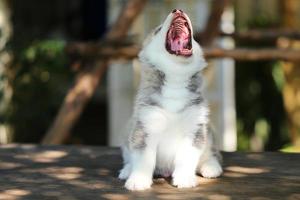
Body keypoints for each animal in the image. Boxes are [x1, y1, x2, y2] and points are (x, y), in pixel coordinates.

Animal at [118, 9, 221, 191]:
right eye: (158, 29)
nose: (178, 10)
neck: (176, 79)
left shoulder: (194, 128)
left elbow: (187, 158)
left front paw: (185, 178)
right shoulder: (145, 126)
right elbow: (143, 159)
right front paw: (138, 180)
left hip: (209, 133)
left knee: (211, 153)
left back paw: (211, 166)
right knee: (129, 156)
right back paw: (127, 170)